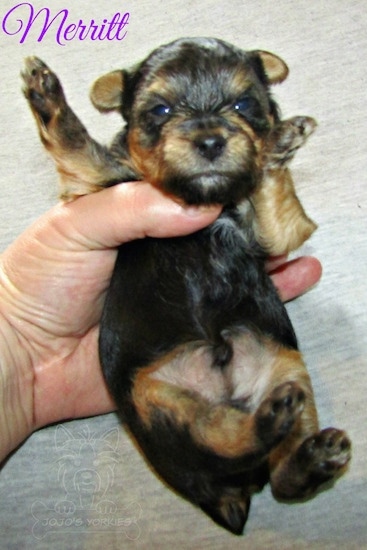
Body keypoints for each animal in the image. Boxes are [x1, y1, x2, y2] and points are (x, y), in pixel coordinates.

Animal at [21, 37, 352, 536]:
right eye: (160, 110)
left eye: (243, 104)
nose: (211, 139)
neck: (206, 204)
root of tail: (228, 495)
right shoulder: (96, 184)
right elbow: (78, 145)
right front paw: (44, 90)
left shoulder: (280, 234)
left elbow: (274, 194)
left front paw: (279, 141)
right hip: (156, 399)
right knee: (221, 439)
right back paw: (269, 422)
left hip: (285, 365)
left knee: (280, 476)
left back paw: (310, 453)